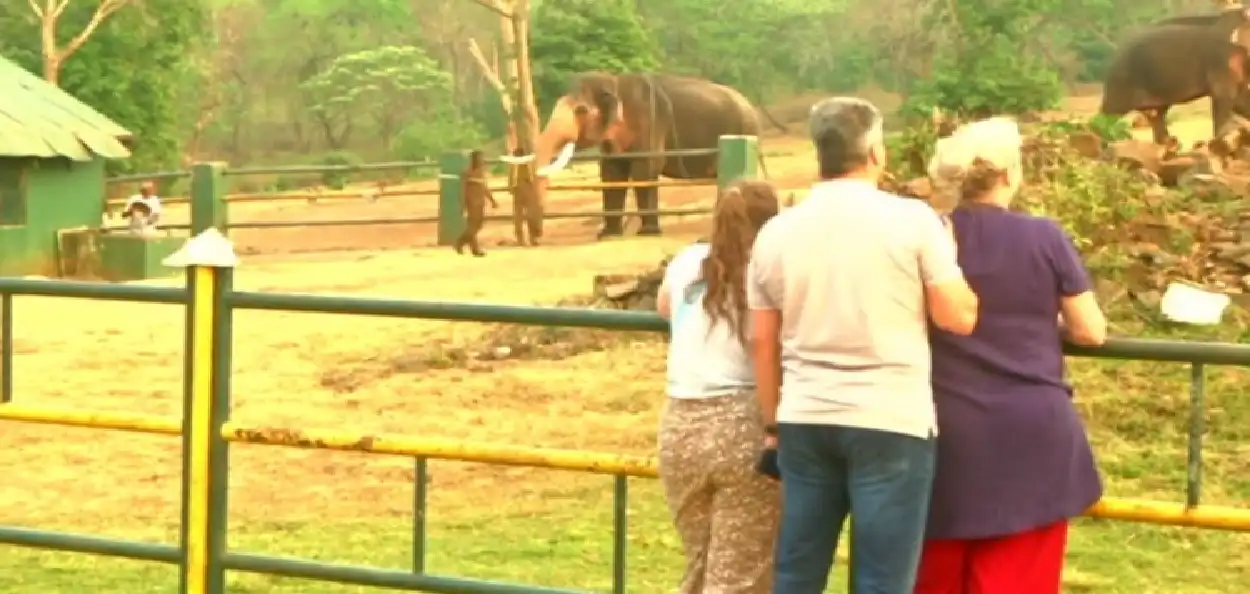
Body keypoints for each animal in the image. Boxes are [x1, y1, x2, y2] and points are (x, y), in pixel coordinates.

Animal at [525, 70, 765, 236]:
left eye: (581, 111)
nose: (538, 237)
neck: (616, 82)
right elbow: (612, 173)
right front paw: (607, 235)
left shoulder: (650, 121)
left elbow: (646, 168)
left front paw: (648, 232)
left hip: (744, 131)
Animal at [1100, 9, 1250, 145]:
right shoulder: (1222, 61)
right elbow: (1225, 97)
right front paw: (1221, 140)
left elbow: (1240, 100)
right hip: (1122, 80)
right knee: (1111, 114)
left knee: (1158, 112)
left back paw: (1169, 143)